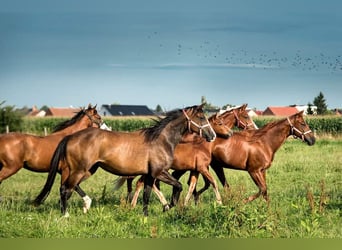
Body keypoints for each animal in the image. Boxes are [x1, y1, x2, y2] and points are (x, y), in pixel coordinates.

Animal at [34, 104, 216, 217]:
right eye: (201, 117)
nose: (212, 135)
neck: (160, 140)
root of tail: (70, 137)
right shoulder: (159, 172)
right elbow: (177, 186)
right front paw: (168, 206)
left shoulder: (150, 175)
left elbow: (147, 195)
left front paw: (146, 215)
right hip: (79, 170)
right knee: (65, 189)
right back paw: (66, 215)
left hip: (87, 170)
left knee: (69, 187)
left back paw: (84, 206)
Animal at [115, 102, 256, 208]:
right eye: (246, 116)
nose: (230, 133)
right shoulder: (207, 167)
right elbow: (214, 183)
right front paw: (217, 202)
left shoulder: (194, 169)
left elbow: (192, 184)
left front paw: (186, 203)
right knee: (140, 182)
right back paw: (136, 204)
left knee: (143, 182)